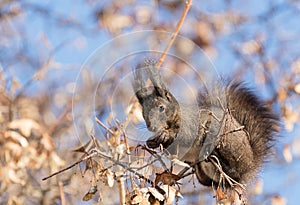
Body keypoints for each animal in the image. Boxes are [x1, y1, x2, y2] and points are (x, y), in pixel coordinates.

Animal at [131, 59, 278, 192]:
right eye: (143, 113)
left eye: (161, 107)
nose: (152, 127)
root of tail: (250, 166)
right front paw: (152, 142)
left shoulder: (192, 124)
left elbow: (186, 136)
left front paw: (165, 135)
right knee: (207, 180)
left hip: (228, 142)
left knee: (233, 170)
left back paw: (221, 161)